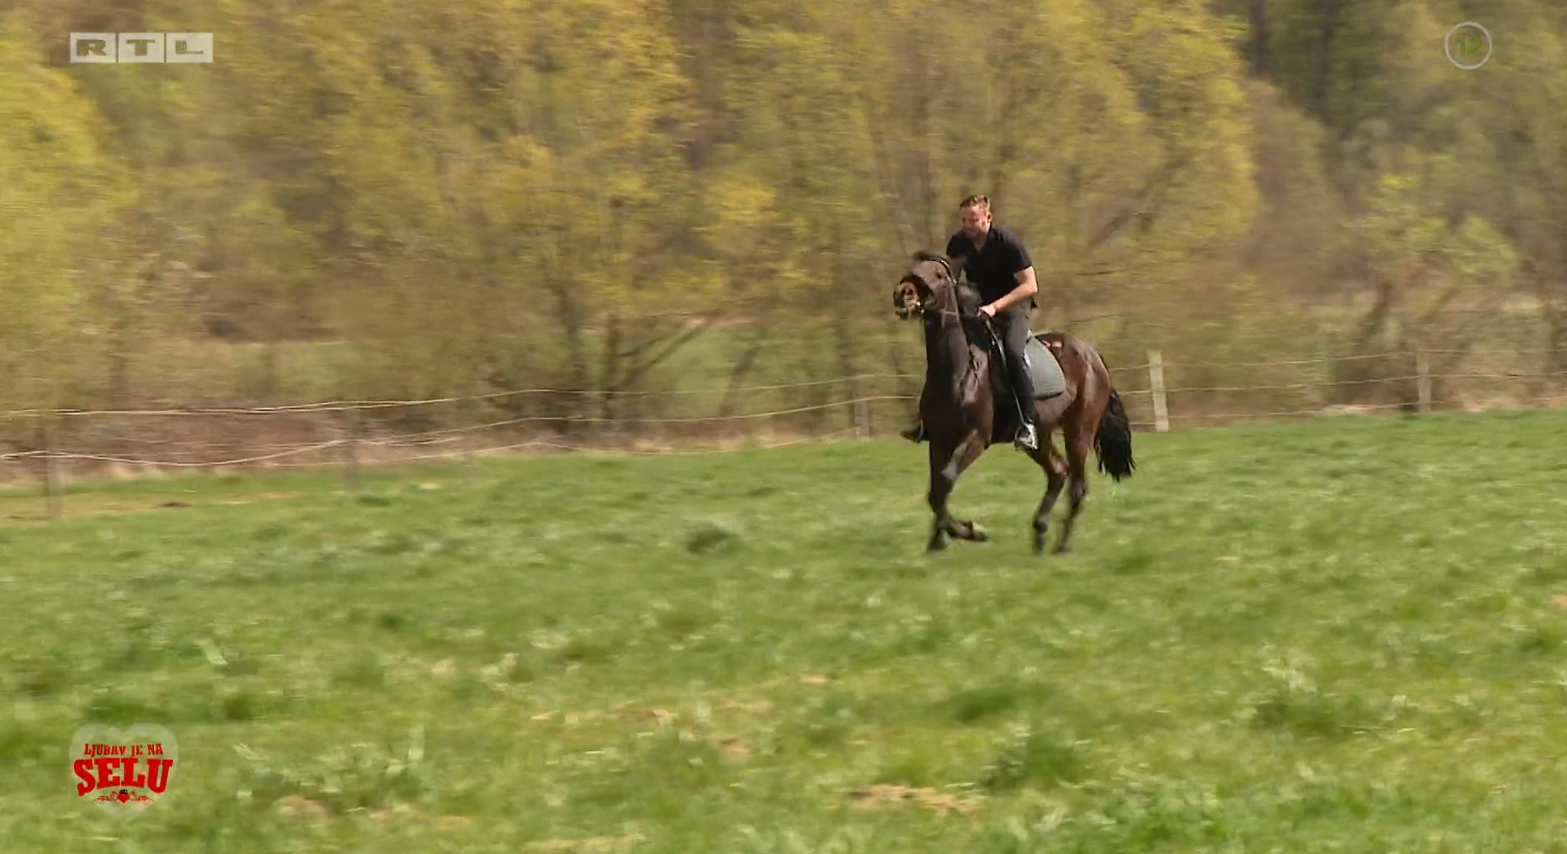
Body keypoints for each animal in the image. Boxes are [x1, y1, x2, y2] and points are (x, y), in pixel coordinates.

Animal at [890, 247, 1134, 551]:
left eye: (937, 275)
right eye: (912, 268)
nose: (902, 294)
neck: (957, 370)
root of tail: (1093, 354)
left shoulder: (976, 437)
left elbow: (945, 481)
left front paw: (971, 531)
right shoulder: (939, 440)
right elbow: (936, 490)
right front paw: (940, 541)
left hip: (1079, 430)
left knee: (1077, 485)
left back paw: (1061, 546)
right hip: (1041, 434)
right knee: (1058, 472)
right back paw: (1039, 533)